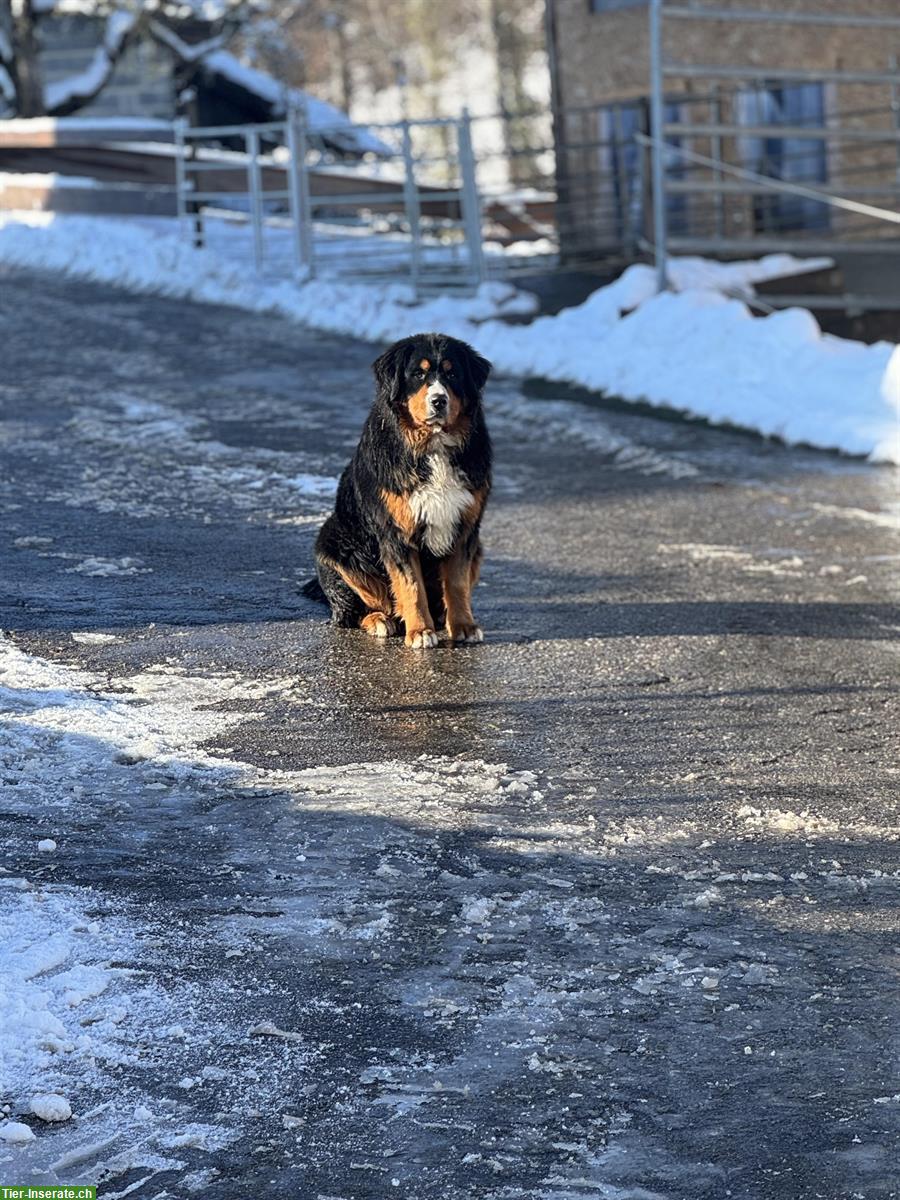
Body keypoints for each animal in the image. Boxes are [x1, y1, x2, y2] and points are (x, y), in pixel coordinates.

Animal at [303, 333, 494, 652]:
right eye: (418, 374)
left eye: (453, 374)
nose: (439, 400)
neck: (433, 447)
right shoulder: (396, 531)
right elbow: (411, 585)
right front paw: (419, 631)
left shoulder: (465, 527)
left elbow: (456, 583)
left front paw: (464, 626)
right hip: (334, 544)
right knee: (351, 612)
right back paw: (380, 620)